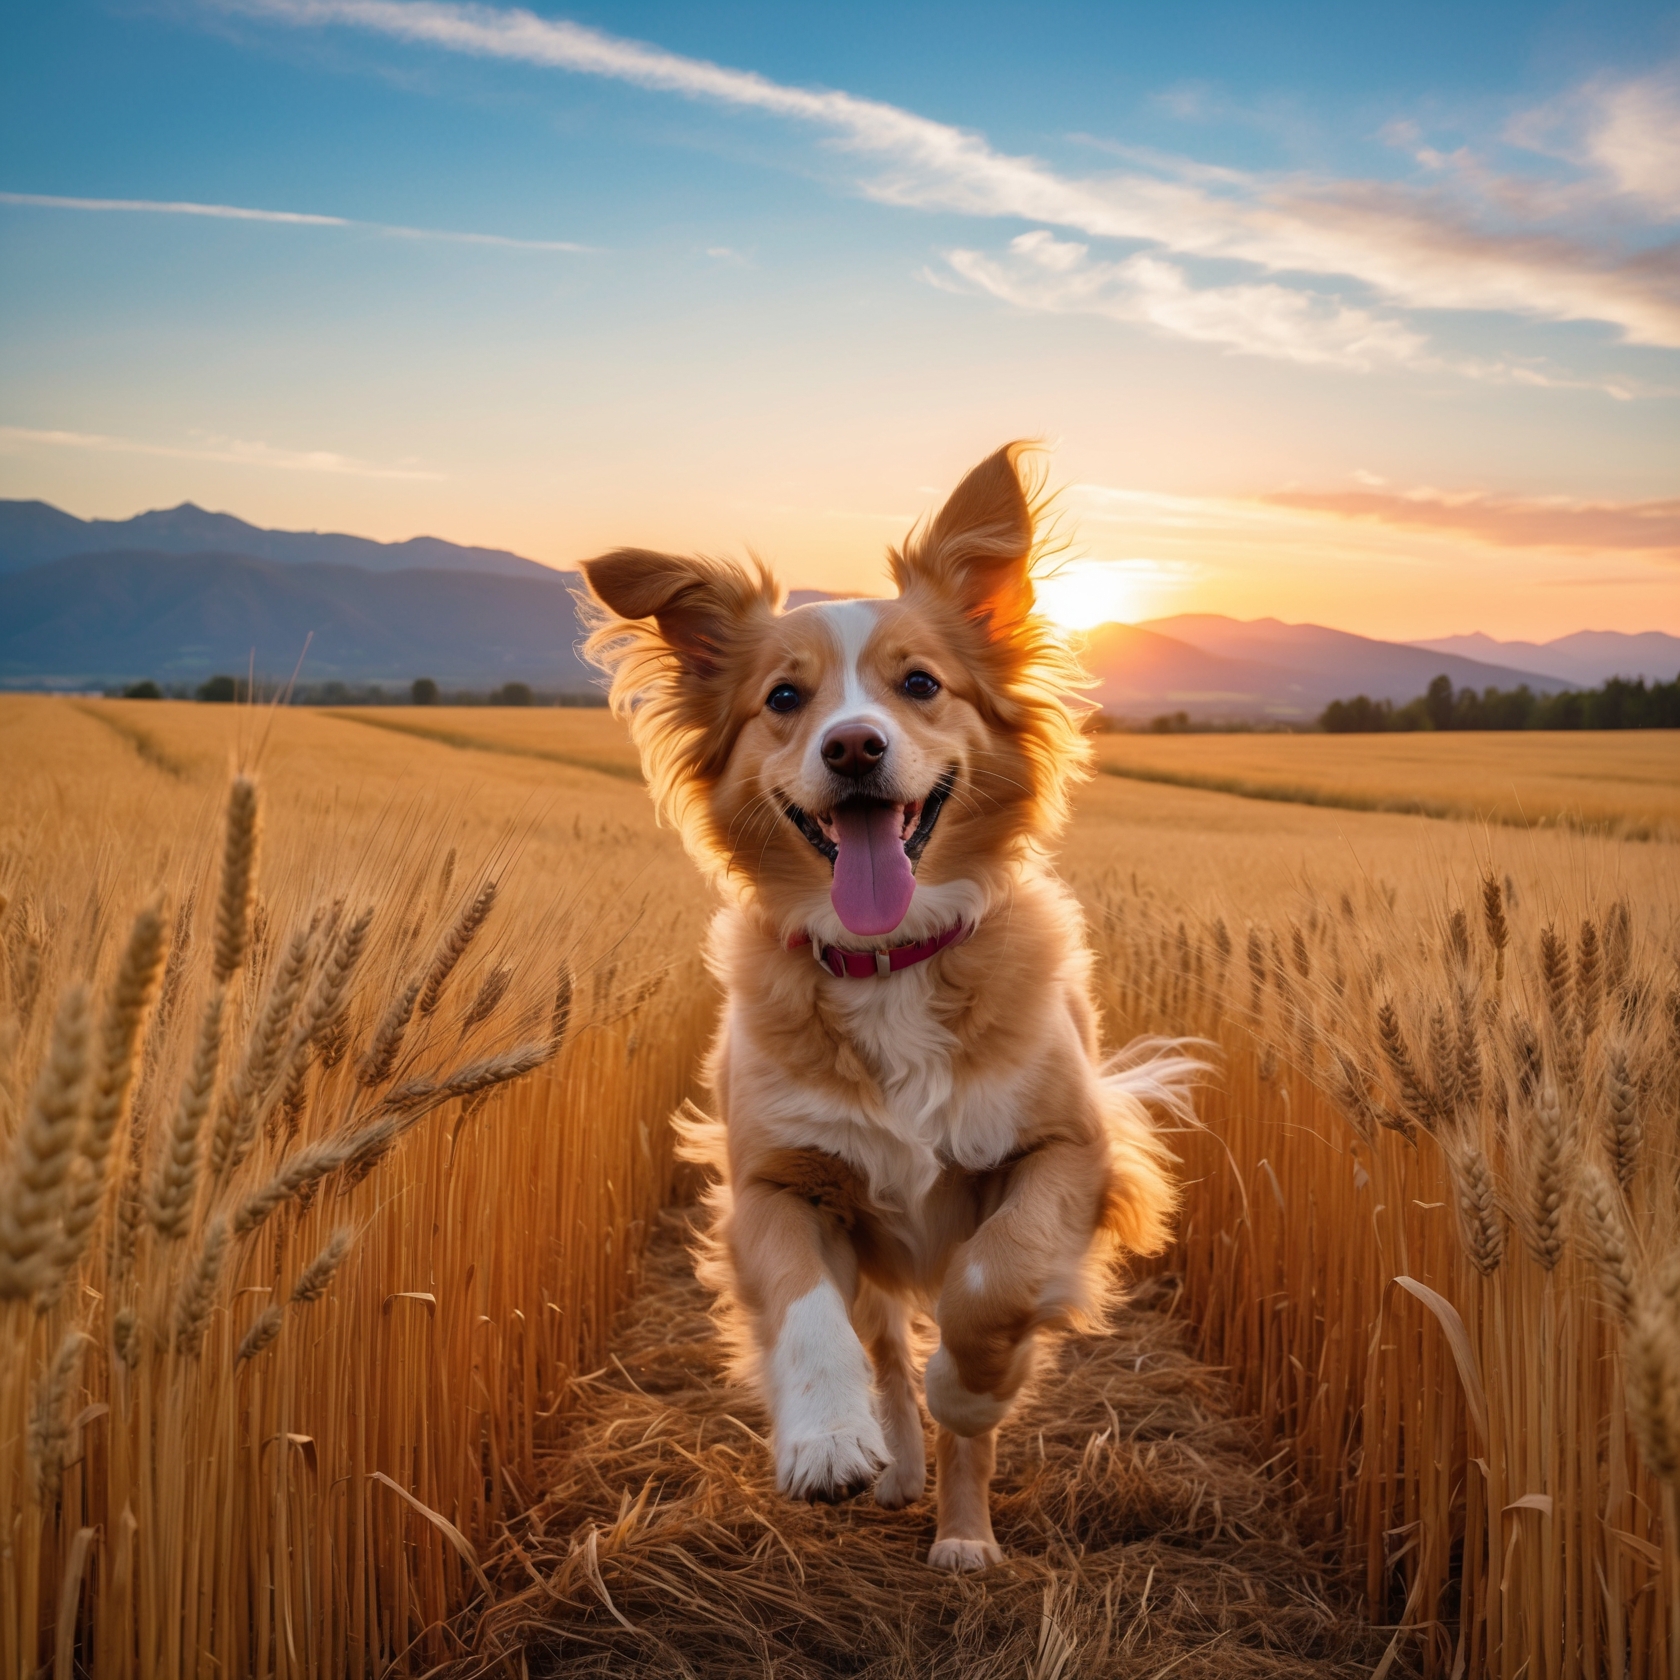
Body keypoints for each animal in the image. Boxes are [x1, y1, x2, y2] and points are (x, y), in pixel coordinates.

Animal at [584, 440, 1189, 1565]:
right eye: (785, 698)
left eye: (920, 684)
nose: (854, 747)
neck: (890, 964)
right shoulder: (773, 1183)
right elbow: (809, 1312)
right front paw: (825, 1439)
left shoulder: (1071, 1154)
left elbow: (993, 1289)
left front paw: (976, 1390)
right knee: (886, 1356)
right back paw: (900, 1465)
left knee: (950, 1376)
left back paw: (963, 1534)